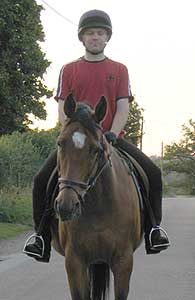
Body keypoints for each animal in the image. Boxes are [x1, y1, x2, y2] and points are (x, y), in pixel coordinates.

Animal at [51, 94, 143, 300]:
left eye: (96, 150)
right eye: (60, 143)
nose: (66, 206)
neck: (98, 207)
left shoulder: (123, 261)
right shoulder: (75, 261)